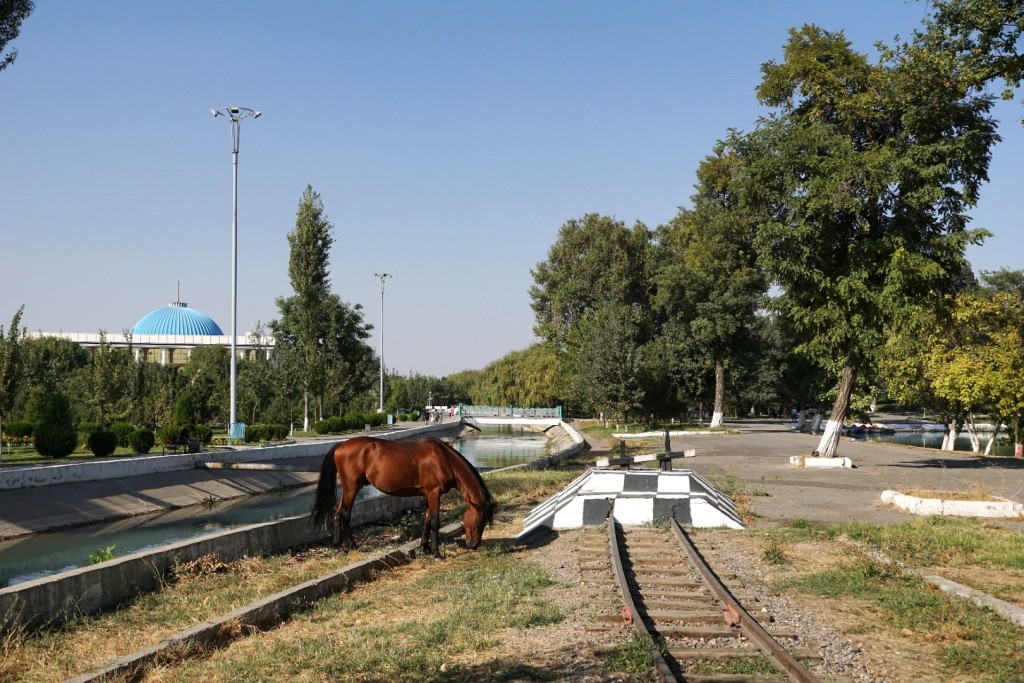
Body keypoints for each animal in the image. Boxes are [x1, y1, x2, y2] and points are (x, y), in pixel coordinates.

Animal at [307, 436, 495, 557]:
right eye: (479, 520)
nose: (473, 545)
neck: (444, 459)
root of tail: (341, 445)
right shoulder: (434, 493)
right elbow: (435, 521)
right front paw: (436, 553)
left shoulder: (428, 494)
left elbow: (427, 519)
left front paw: (424, 548)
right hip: (351, 488)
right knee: (345, 513)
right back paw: (352, 546)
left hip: (348, 489)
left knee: (337, 511)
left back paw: (338, 544)